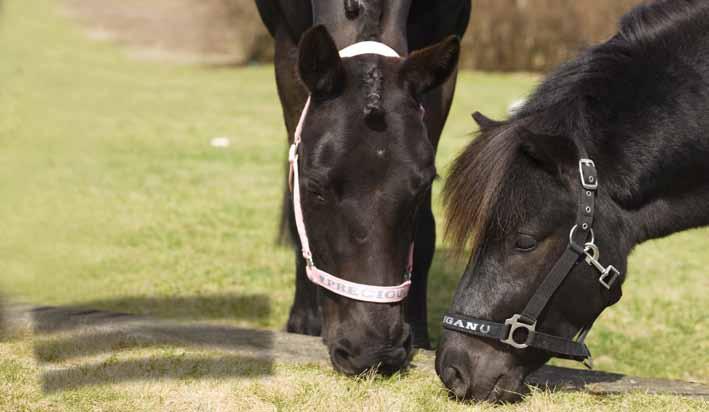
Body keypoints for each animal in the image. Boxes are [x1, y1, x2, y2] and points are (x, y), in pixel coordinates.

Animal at [254, 0, 470, 374]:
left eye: (422, 186)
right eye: (315, 187)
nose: (374, 350)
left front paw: (420, 332)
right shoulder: (288, 47)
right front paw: (304, 322)